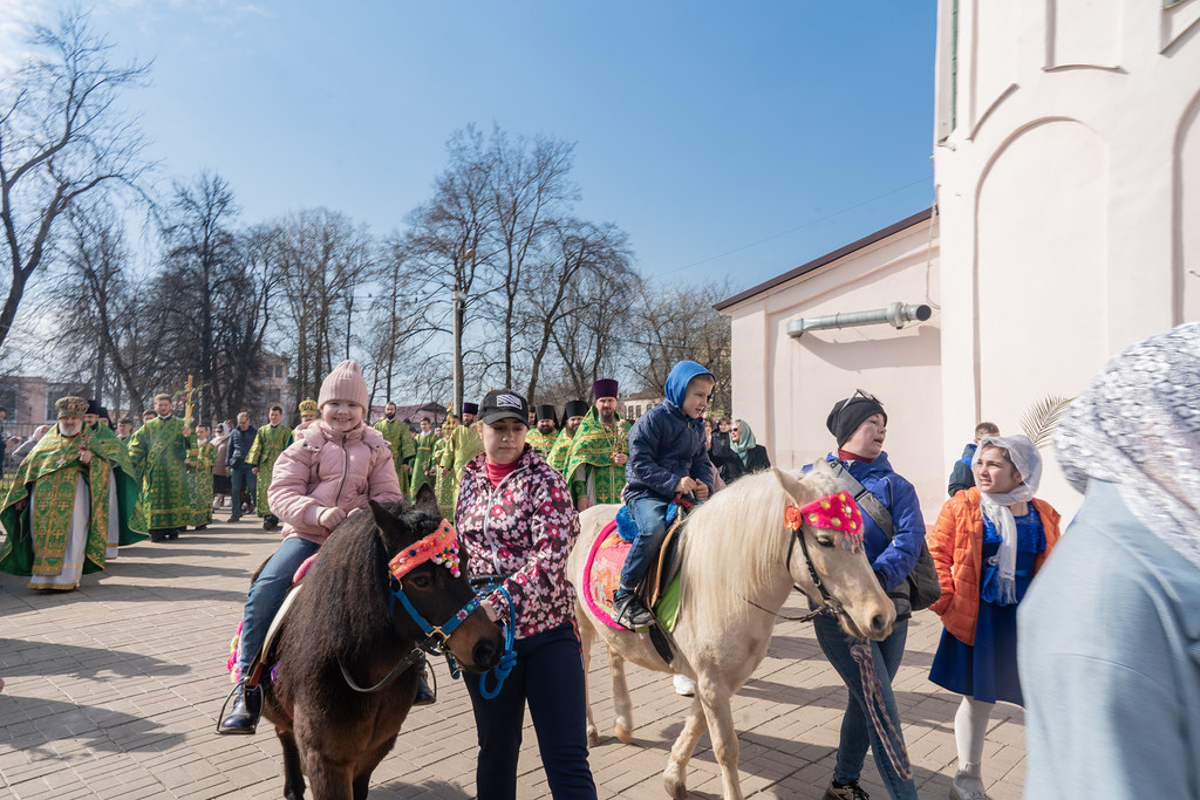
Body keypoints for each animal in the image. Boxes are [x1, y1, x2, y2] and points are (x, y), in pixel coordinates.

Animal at [258, 484, 501, 796]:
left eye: (467, 562)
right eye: (421, 580)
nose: (488, 647)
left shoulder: (373, 752)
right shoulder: (324, 761)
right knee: (283, 734)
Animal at [566, 462, 897, 800]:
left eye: (861, 535)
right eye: (824, 540)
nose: (881, 616)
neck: (728, 584)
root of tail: (584, 512)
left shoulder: (723, 678)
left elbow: (696, 724)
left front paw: (673, 777)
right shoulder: (712, 680)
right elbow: (725, 748)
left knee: (615, 656)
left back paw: (623, 724)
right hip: (579, 621)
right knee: (583, 672)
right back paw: (591, 730)